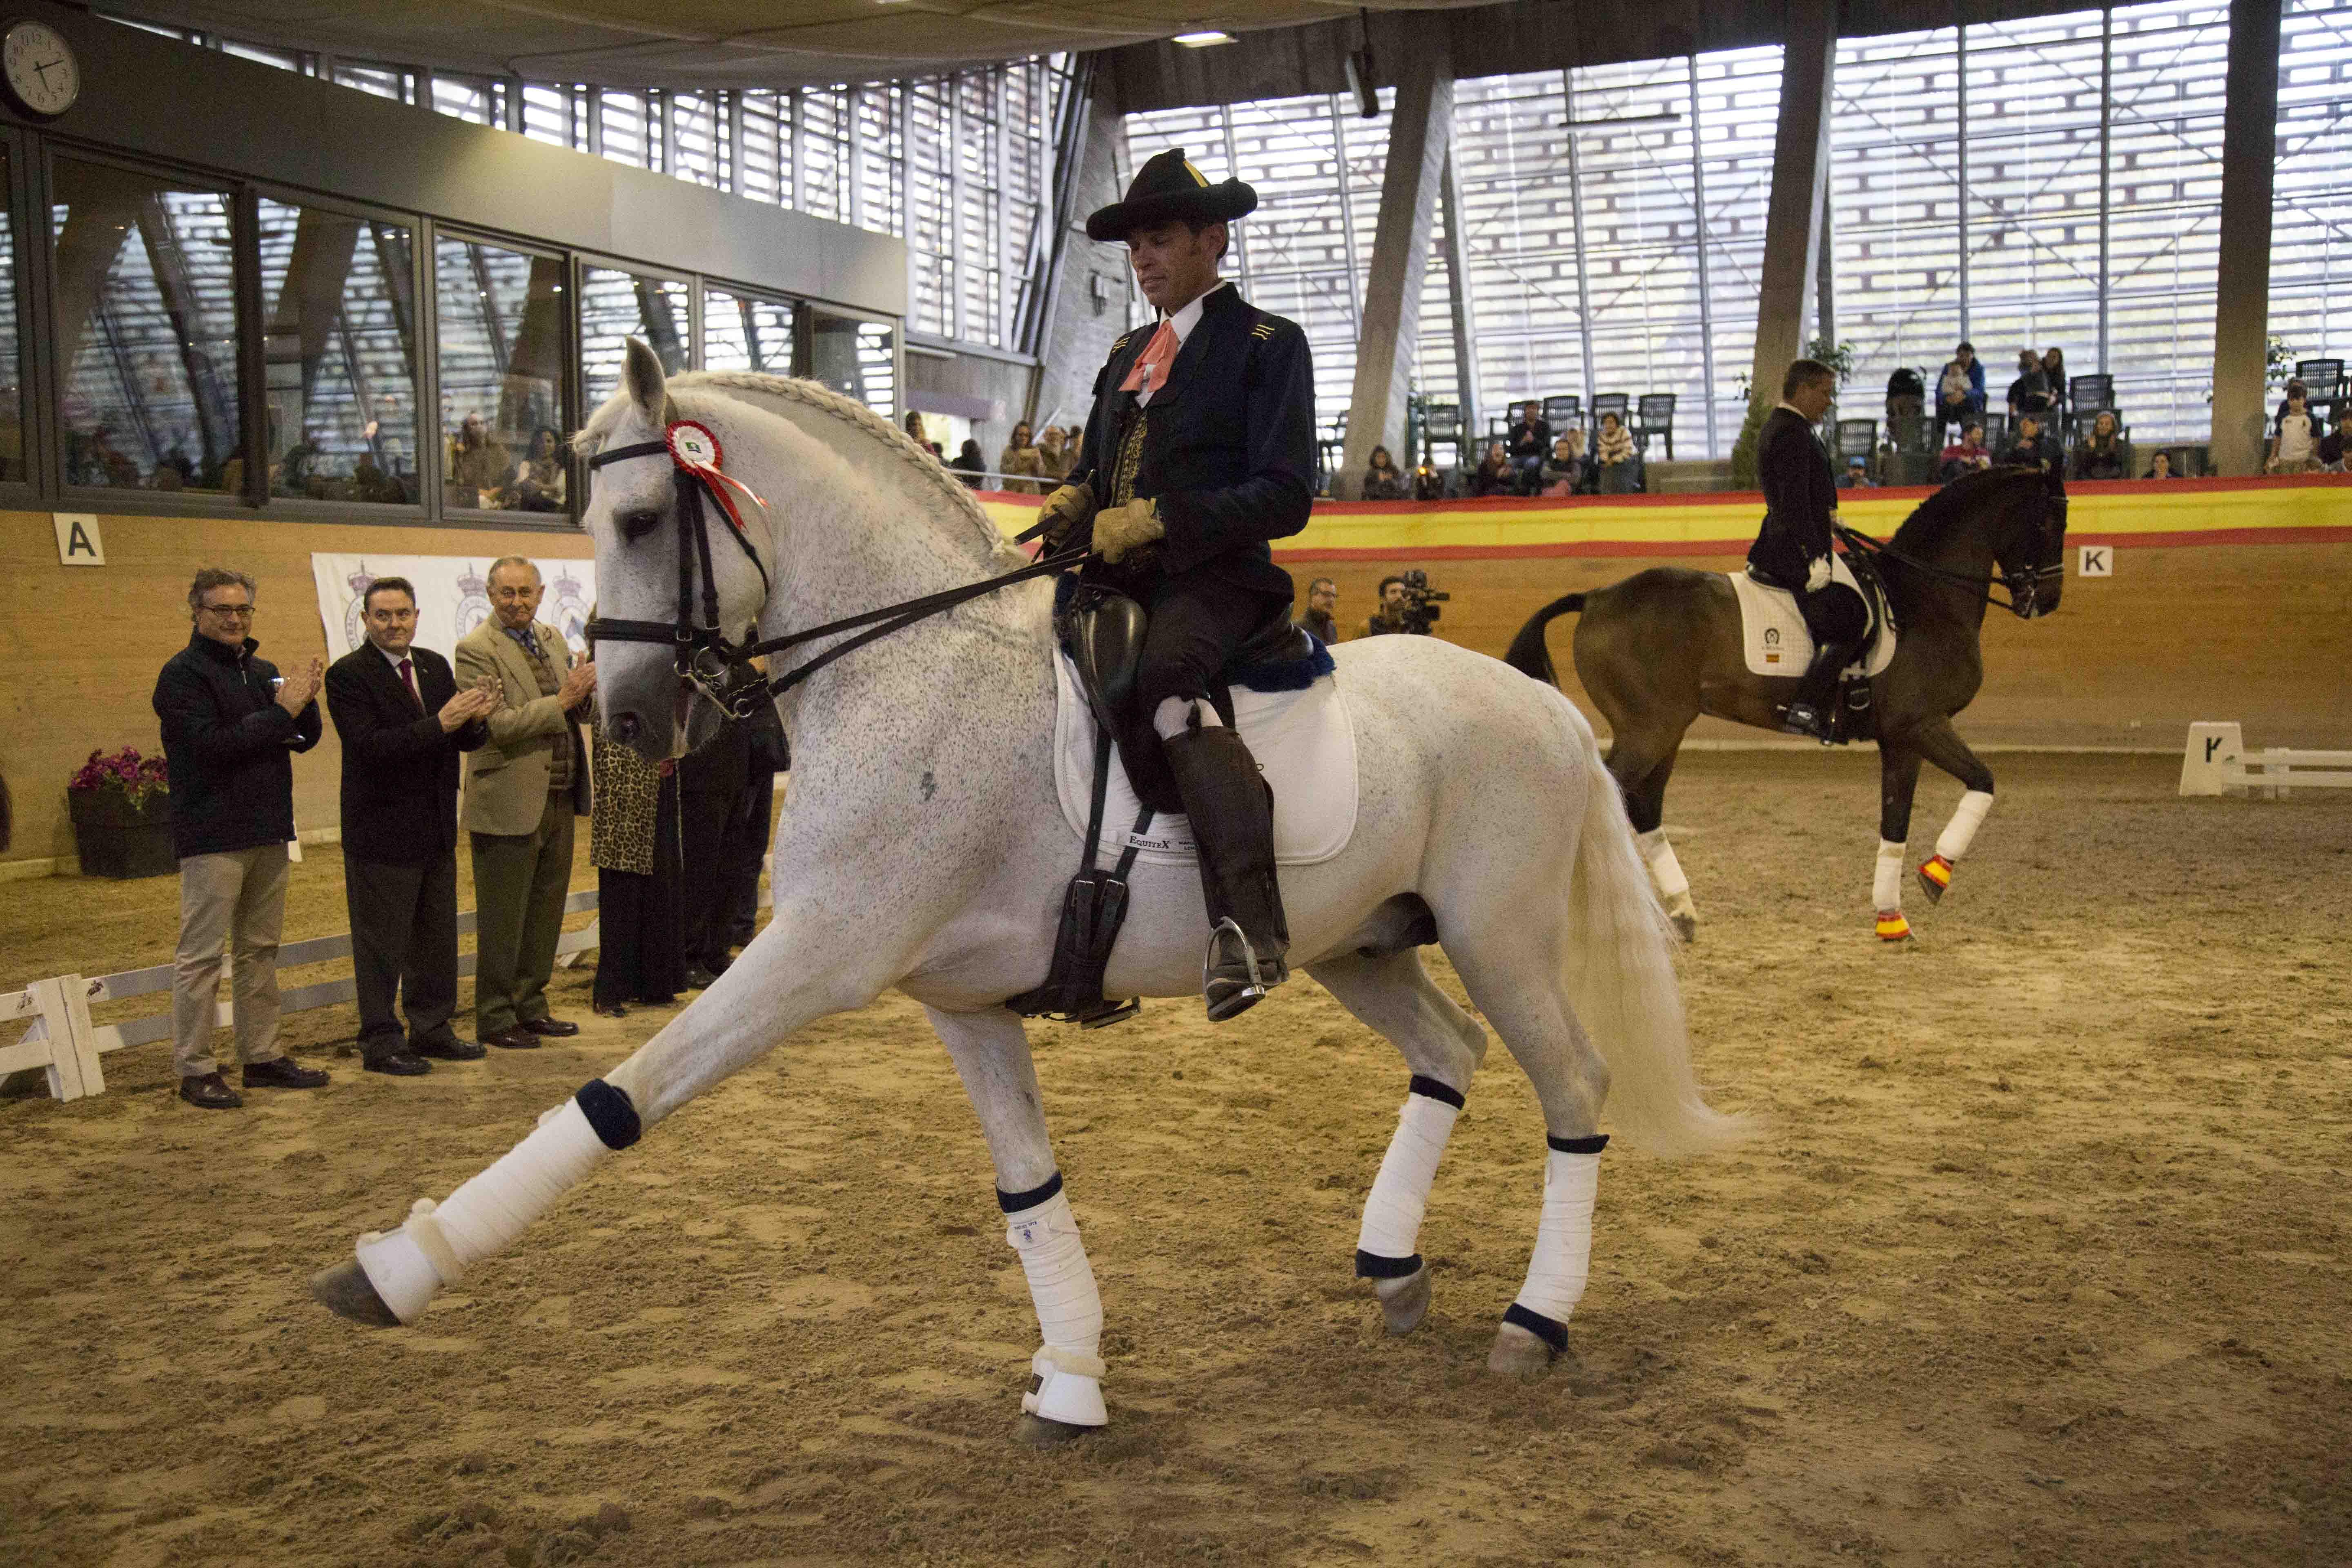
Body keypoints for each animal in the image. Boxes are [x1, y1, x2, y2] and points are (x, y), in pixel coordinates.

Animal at [308, 341, 1750, 1448]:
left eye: (647, 521)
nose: (625, 722)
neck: (902, 665)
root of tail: (1542, 706)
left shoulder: (822, 949)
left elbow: (619, 1097)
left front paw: (391, 1270)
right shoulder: (958, 997)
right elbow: (1026, 1191)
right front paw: (1070, 1381)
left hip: (1501, 937)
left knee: (1576, 1087)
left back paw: (1535, 1318)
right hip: (1363, 943)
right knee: (1449, 1052)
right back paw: (1392, 1269)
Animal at [1505, 465, 2060, 945]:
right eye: (2047, 522)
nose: (2048, 601)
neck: (1923, 600)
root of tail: (1597, 596)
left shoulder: (1902, 739)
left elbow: (1896, 821)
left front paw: (1892, 918)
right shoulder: (1924, 724)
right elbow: (1983, 781)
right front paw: (1936, 876)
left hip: (1665, 730)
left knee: (1642, 806)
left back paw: (1681, 912)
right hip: (1650, 730)